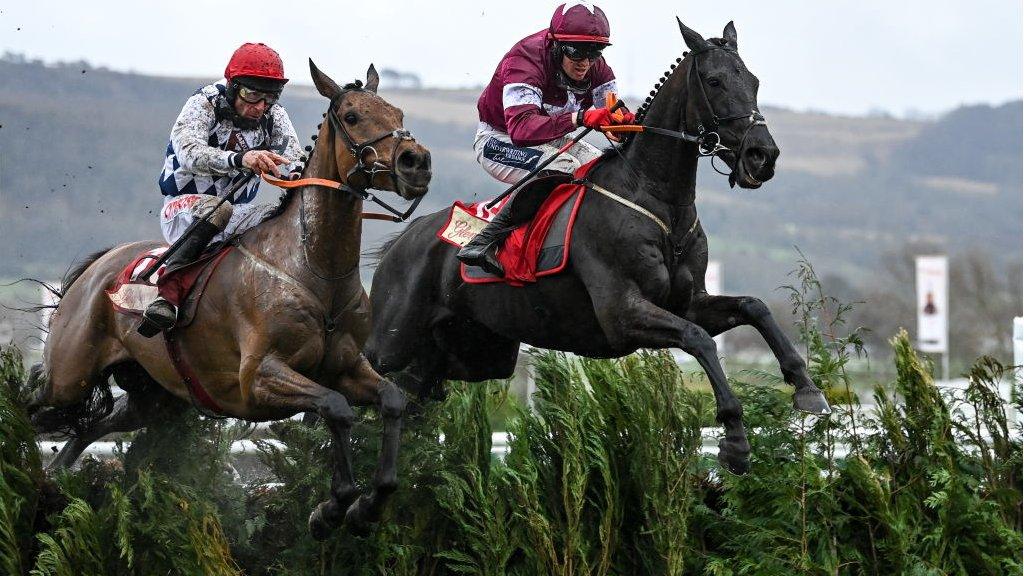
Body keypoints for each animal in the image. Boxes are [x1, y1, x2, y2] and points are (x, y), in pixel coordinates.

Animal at [24, 60, 432, 537]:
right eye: (351, 116)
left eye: (398, 112)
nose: (417, 163)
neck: (315, 268)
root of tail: (98, 267)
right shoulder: (258, 378)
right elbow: (337, 408)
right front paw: (332, 507)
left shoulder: (347, 367)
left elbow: (391, 400)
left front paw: (366, 506)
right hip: (70, 375)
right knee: (36, 404)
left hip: (153, 396)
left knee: (91, 425)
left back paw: (56, 479)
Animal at [368, 20, 831, 473]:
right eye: (715, 81)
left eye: (753, 80)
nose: (762, 156)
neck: (657, 199)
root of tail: (401, 241)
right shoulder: (622, 313)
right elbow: (699, 339)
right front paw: (734, 440)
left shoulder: (688, 302)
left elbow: (754, 308)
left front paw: (807, 389)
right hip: (392, 344)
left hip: (471, 353)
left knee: (415, 398)